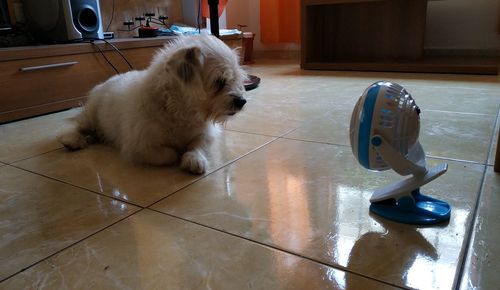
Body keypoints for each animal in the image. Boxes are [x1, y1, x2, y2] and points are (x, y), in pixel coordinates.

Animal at [59, 34, 247, 174]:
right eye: (219, 81)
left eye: (237, 78)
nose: (242, 101)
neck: (182, 110)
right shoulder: (138, 147)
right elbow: (169, 153)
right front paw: (178, 153)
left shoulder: (206, 134)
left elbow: (197, 146)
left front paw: (194, 158)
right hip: (90, 117)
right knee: (79, 128)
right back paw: (74, 140)